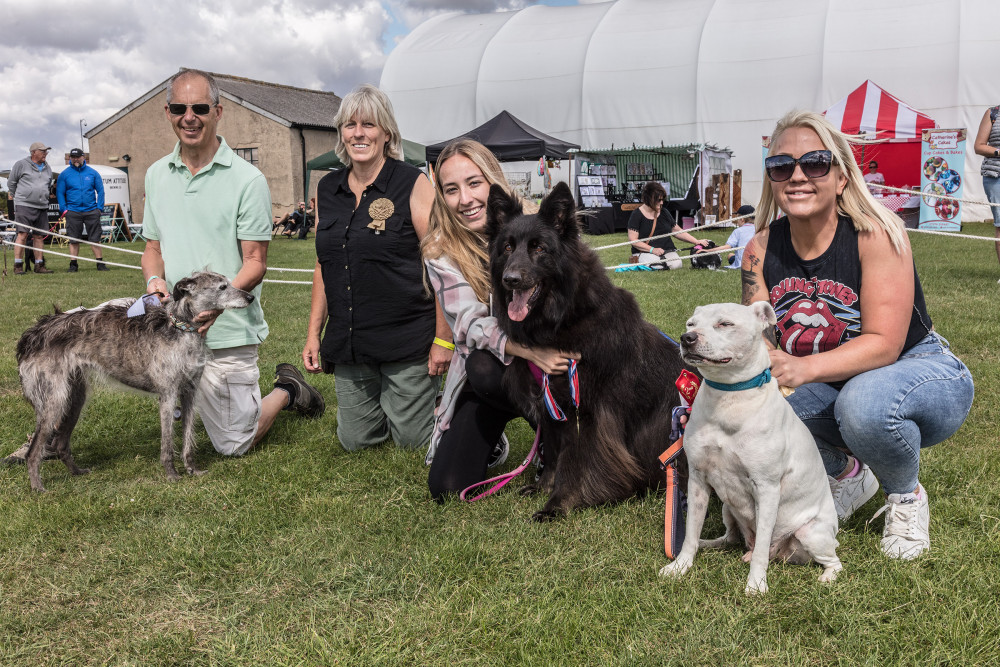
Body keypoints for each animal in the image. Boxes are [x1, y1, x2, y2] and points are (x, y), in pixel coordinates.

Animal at [15, 268, 254, 494]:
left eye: (229, 283)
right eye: (222, 287)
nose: (250, 297)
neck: (181, 328)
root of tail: (33, 334)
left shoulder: (189, 392)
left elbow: (187, 439)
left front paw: (192, 469)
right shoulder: (168, 395)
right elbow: (167, 444)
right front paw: (172, 474)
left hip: (74, 398)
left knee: (61, 443)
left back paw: (77, 472)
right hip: (54, 401)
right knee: (34, 451)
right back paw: (38, 487)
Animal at [484, 183, 688, 520]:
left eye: (539, 248)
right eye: (507, 248)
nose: (510, 279)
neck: (561, 320)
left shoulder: (588, 411)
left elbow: (574, 461)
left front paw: (558, 504)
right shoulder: (552, 407)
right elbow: (553, 454)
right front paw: (542, 487)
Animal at [660, 302, 840, 596]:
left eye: (725, 324)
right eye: (691, 324)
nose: (687, 338)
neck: (729, 397)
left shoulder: (766, 489)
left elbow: (761, 551)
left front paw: (756, 585)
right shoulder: (698, 480)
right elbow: (690, 533)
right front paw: (680, 566)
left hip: (810, 533)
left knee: (829, 559)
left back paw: (827, 576)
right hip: (727, 508)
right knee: (731, 538)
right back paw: (710, 544)